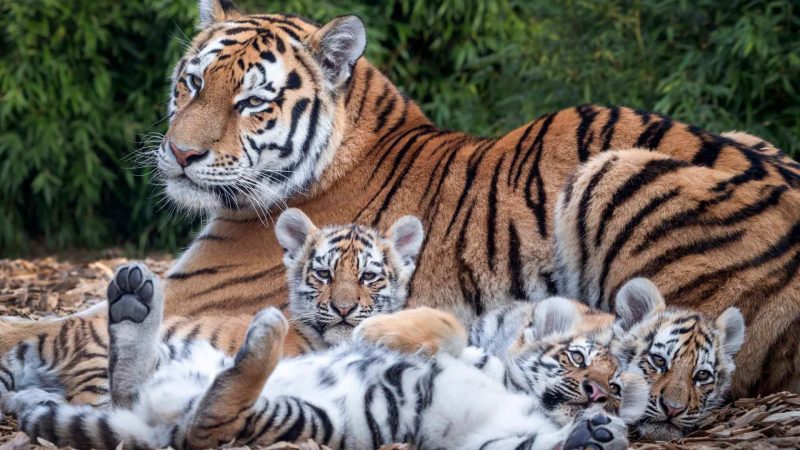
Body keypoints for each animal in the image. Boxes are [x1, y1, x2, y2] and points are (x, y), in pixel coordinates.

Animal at [4, 0, 800, 398]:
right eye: (193, 82)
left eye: (253, 102)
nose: (181, 153)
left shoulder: (199, 294)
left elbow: (40, 324)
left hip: (615, 171)